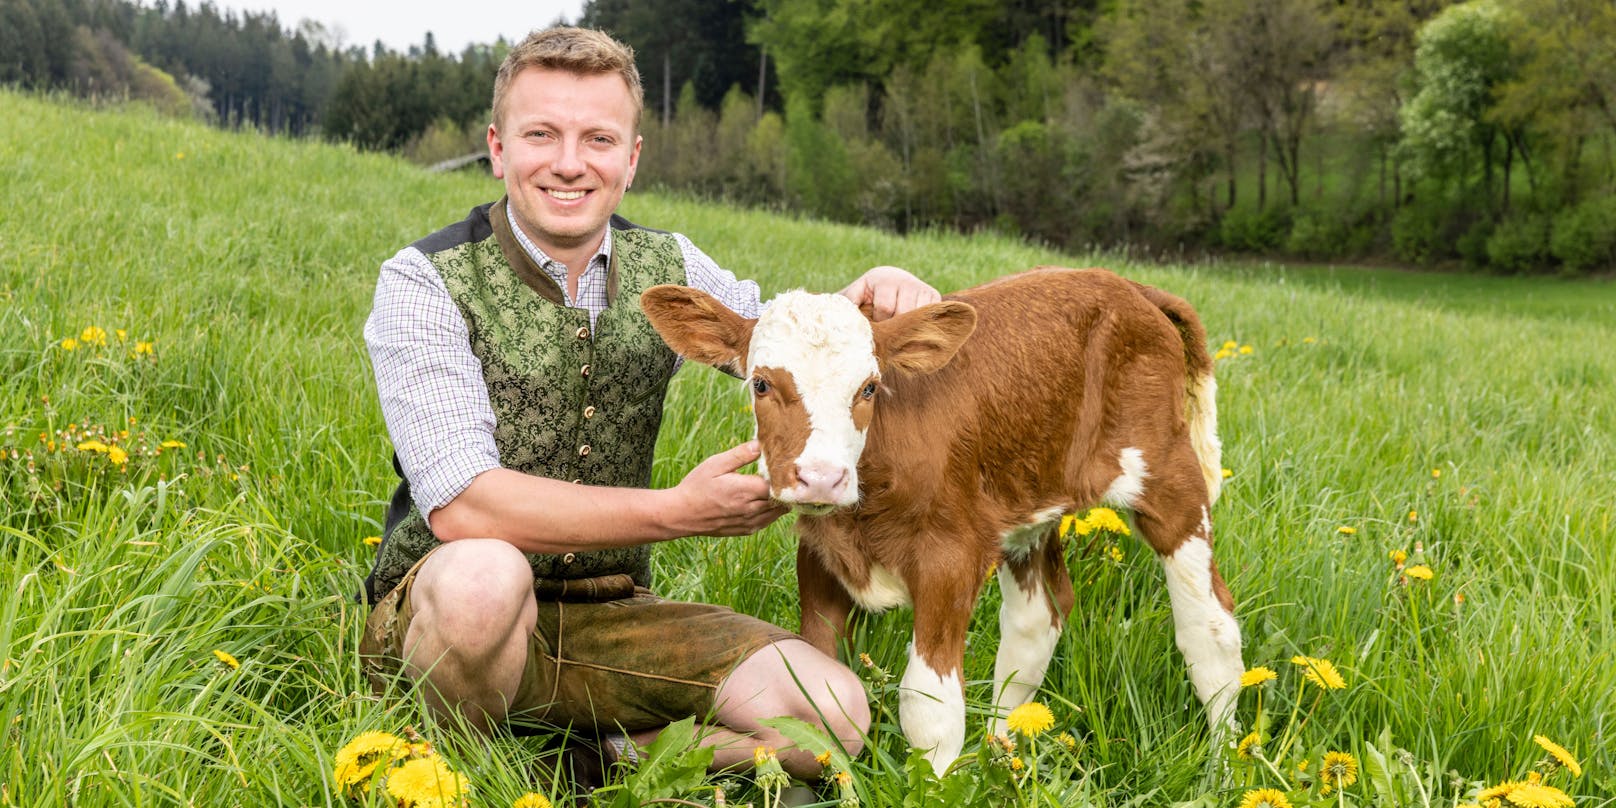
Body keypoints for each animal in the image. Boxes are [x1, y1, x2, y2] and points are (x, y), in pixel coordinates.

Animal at [639, 268, 1234, 772]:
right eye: (761, 383)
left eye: (869, 388)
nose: (822, 478)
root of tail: (1128, 285)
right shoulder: (820, 555)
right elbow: (822, 689)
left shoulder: (949, 558)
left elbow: (930, 707)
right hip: (1027, 499)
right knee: (1036, 620)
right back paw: (1000, 752)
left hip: (1169, 477)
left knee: (1210, 628)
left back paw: (1223, 768)